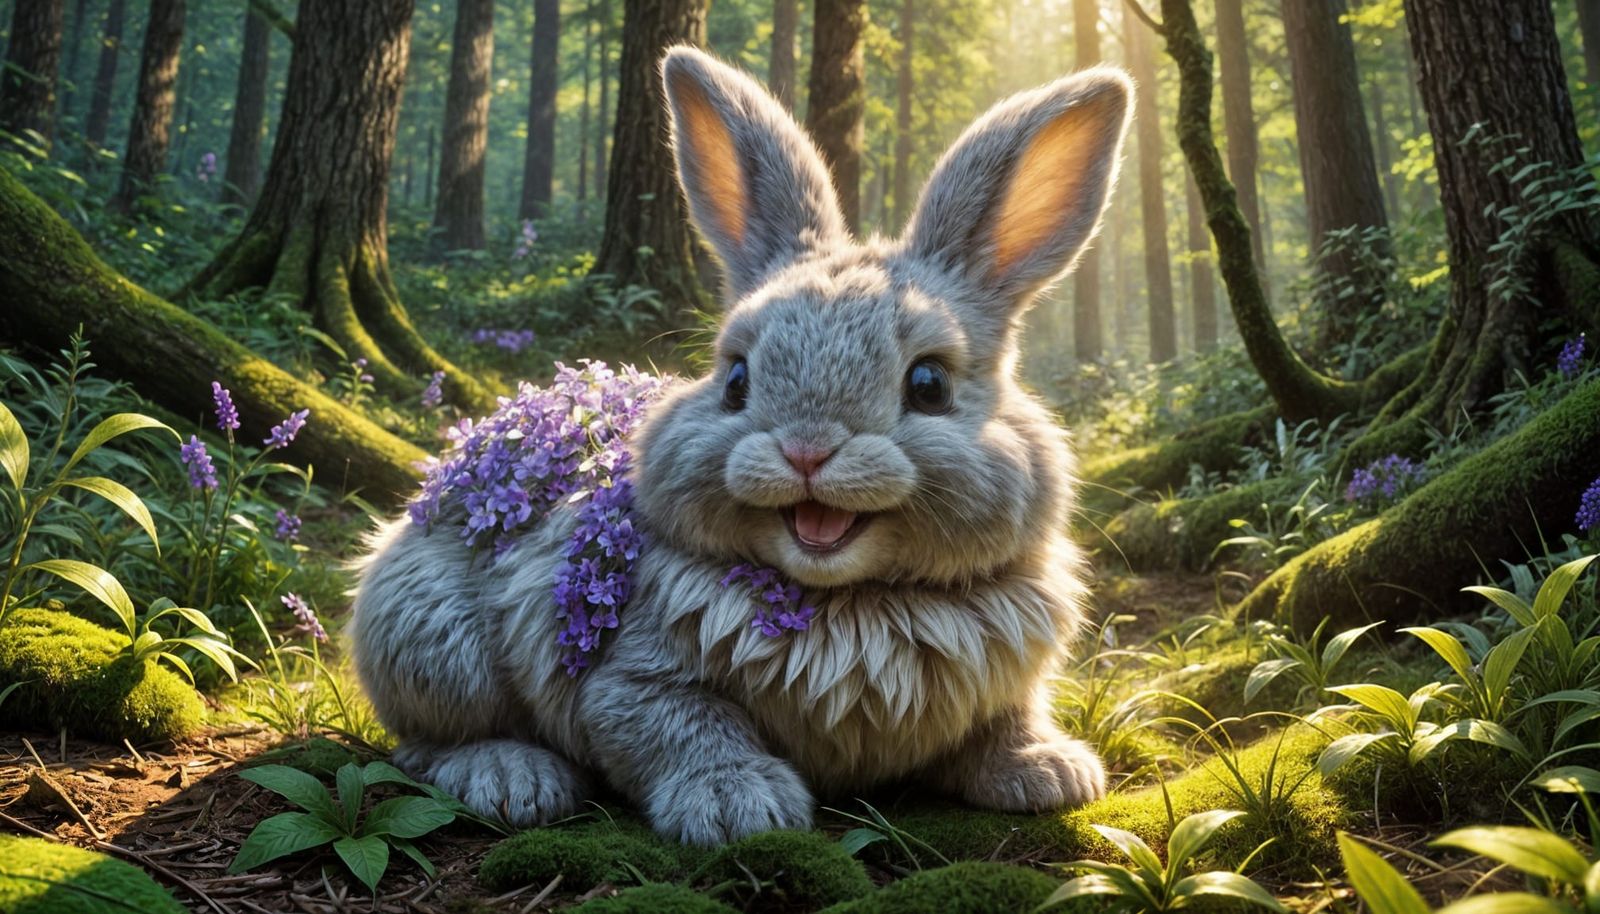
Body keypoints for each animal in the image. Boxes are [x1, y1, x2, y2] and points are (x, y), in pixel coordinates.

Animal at [349, 46, 1133, 846]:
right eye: (735, 379)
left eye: (930, 384)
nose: (807, 452)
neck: (852, 602)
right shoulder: (630, 680)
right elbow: (681, 726)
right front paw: (737, 804)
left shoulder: (1005, 684)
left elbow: (1006, 722)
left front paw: (1050, 772)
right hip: (436, 643)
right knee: (428, 740)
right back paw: (512, 777)